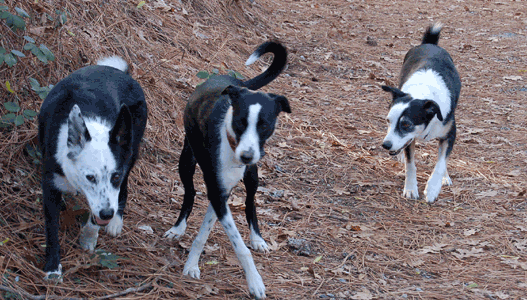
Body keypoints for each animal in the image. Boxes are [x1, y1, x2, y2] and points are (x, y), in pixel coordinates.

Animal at [38, 56, 147, 282]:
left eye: (115, 176)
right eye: (90, 177)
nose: (107, 214)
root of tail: (121, 72)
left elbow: (95, 219)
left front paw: (88, 238)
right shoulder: (50, 183)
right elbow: (52, 229)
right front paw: (53, 268)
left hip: (132, 150)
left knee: (125, 188)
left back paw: (116, 221)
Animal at [163, 41, 290, 298]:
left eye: (265, 126)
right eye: (240, 122)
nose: (247, 155)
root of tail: (234, 82)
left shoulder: (223, 191)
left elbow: (207, 230)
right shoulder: (217, 190)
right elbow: (237, 245)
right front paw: (255, 281)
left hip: (253, 175)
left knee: (250, 202)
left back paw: (257, 238)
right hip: (186, 160)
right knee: (190, 192)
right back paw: (178, 227)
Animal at [380, 23, 462, 203]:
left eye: (406, 124)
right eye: (388, 121)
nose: (385, 145)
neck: (422, 94)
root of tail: (430, 44)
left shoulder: (450, 133)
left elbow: (441, 163)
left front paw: (432, 189)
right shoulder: (408, 139)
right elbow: (410, 164)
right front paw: (411, 188)